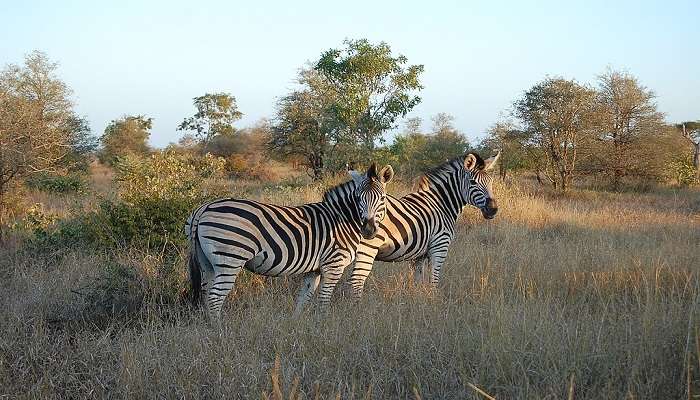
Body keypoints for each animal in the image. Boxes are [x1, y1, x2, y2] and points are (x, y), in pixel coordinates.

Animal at [186, 162, 394, 318]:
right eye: (358, 198)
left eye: (382, 198)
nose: (368, 230)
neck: (342, 218)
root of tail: (203, 208)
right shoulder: (333, 264)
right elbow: (323, 300)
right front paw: (322, 325)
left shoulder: (314, 269)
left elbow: (304, 298)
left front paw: (297, 325)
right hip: (229, 258)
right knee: (215, 298)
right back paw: (219, 333)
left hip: (207, 262)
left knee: (205, 294)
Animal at [338, 152, 498, 298]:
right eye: (473, 182)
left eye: (491, 182)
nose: (493, 209)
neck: (441, 204)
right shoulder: (440, 246)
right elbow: (434, 281)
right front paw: (433, 302)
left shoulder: (419, 255)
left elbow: (418, 281)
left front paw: (417, 300)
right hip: (367, 248)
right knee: (356, 282)